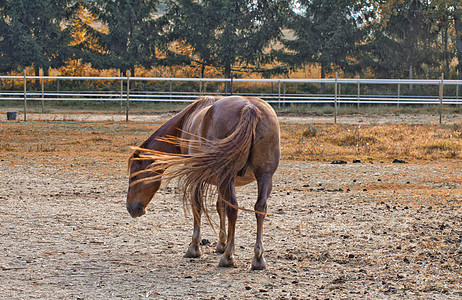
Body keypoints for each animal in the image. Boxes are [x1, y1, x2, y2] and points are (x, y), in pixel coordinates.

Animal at [124, 96, 280, 270]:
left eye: (133, 177)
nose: (131, 208)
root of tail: (249, 107)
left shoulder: (196, 176)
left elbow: (197, 205)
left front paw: (194, 247)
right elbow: (220, 206)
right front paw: (221, 243)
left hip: (228, 176)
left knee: (233, 208)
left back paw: (228, 257)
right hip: (264, 176)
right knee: (260, 208)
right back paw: (258, 258)